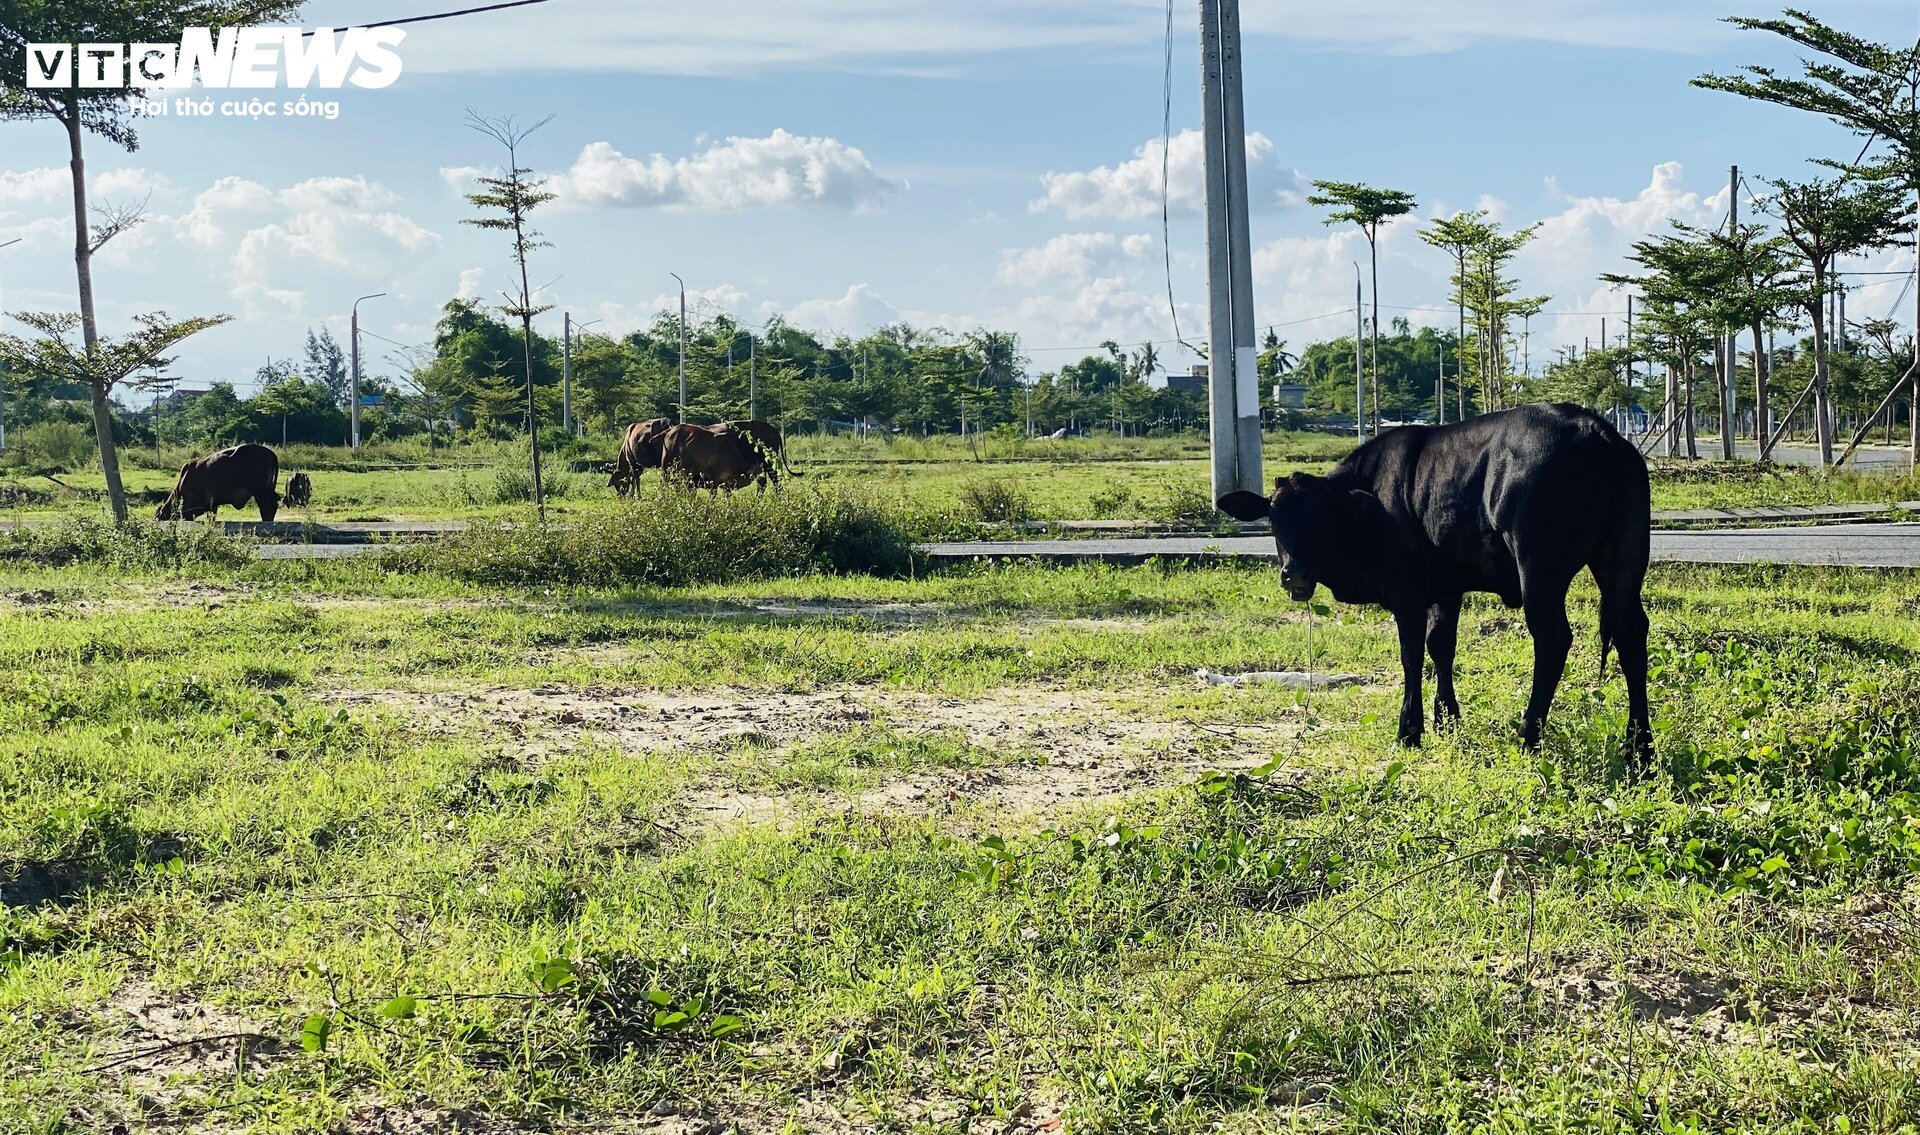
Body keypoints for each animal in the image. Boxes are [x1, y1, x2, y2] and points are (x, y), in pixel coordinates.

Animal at [1221, 403, 1658, 768]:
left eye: (1322, 518)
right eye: (1274, 519)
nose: (1293, 574)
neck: (1369, 501)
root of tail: (1596, 430)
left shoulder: (1407, 590)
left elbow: (1412, 654)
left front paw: (1410, 730)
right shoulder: (1447, 588)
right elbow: (1441, 647)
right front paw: (1447, 718)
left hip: (1539, 569)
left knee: (1552, 639)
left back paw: (1528, 736)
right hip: (1623, 559)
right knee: (1631, 635)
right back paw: (1639, 748)